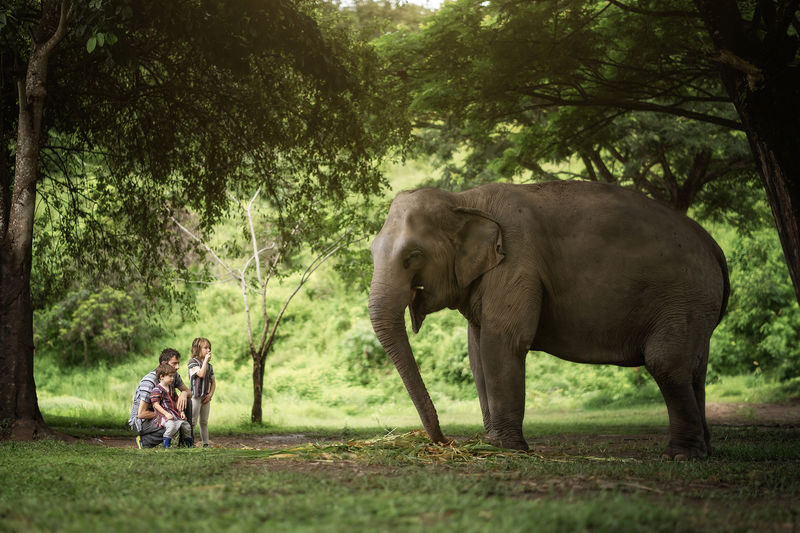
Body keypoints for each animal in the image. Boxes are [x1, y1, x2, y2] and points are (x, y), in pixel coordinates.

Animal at [368, 181, 729, 459]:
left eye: (413, 256)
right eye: (372, 251)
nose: (444, 440)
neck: (464, 199)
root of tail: (715, 247)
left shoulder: (516, 264)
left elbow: (503, 341)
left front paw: (507, 449)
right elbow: (476, 351)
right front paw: (493, 444)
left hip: (684, 297)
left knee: (665, 362)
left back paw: (680, 456)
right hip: (696, 307)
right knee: (693, 368)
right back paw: (704, 452)